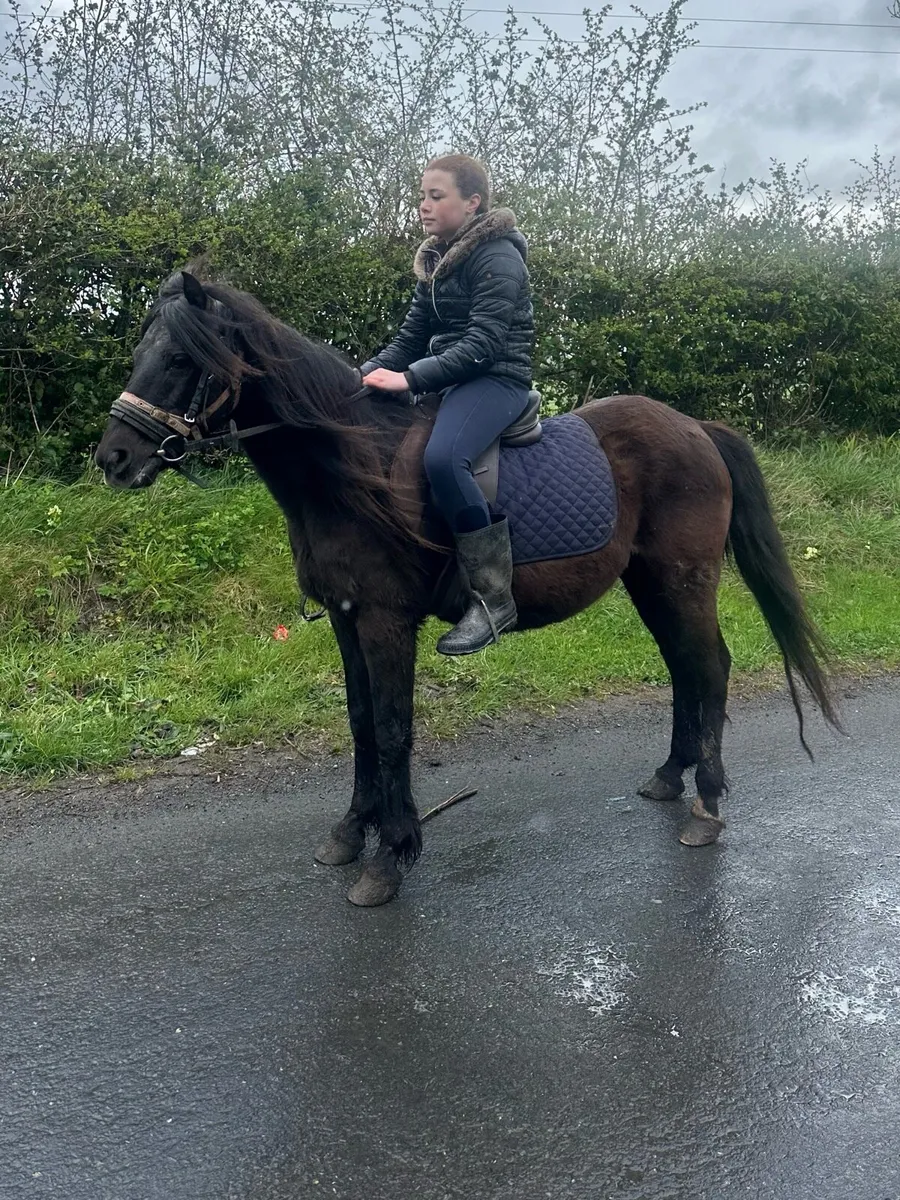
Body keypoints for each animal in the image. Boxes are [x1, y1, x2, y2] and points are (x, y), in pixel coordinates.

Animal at [95, 271, 840, 907]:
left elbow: (393, 729)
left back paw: (707, 805)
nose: (113, 459)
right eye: (141, 352)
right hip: (649, 583)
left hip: (683, 580)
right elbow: (361, 723)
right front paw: (350, 832)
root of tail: (697, 430)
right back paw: (670, 777)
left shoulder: (385, 620)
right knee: (686, 669)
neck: (350, 465)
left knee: (708, 668)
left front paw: (389, 856)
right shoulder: (344, 616)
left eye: (180, 359)